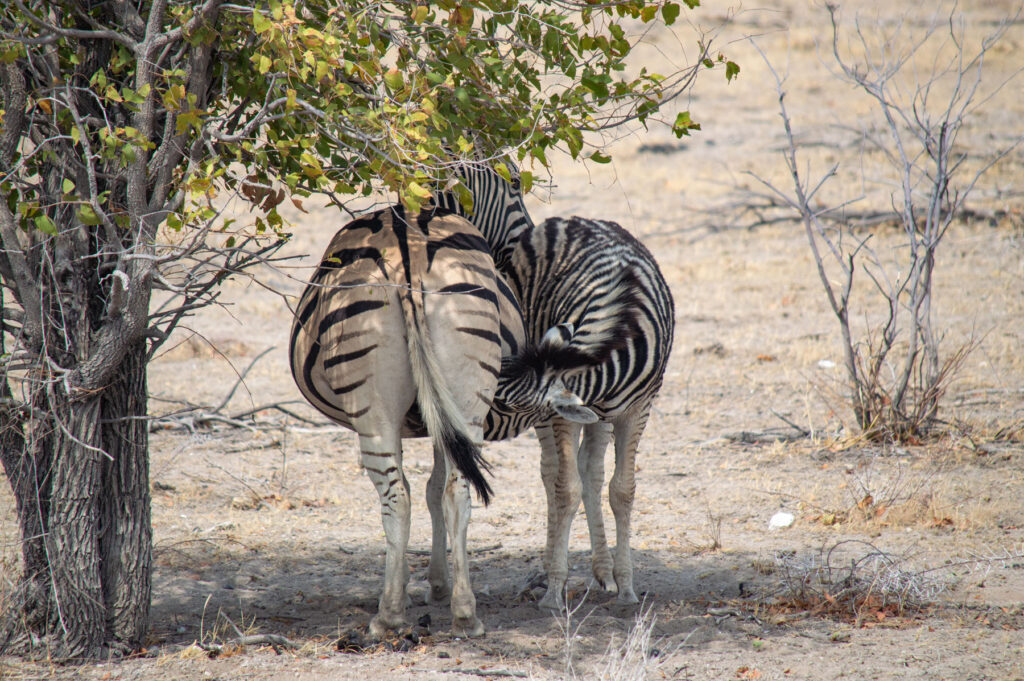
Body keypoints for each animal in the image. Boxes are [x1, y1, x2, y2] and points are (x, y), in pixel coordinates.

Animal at [289, 204, 612, 638]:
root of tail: (406, 255)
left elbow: (421, 489)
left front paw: (421, 586)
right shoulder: (446, 418)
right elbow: (434, 489)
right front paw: (438, 585)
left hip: (374, 409)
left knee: (396, 497)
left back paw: (389, 615)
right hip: (464, 389)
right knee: (457, 493)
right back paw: (465, 613)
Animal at [434, 164, 676, 611]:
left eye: (507, 405)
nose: (456, 429)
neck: (620, 331)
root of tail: (570, 220)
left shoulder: (639, 407)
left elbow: (622, 489)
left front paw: (626, 586)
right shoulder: (560, 413)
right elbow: (565, 488)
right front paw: (554, 590)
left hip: (599, 414)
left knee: (592, 472)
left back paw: (603, 571)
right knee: (556, 474)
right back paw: (557, 570)